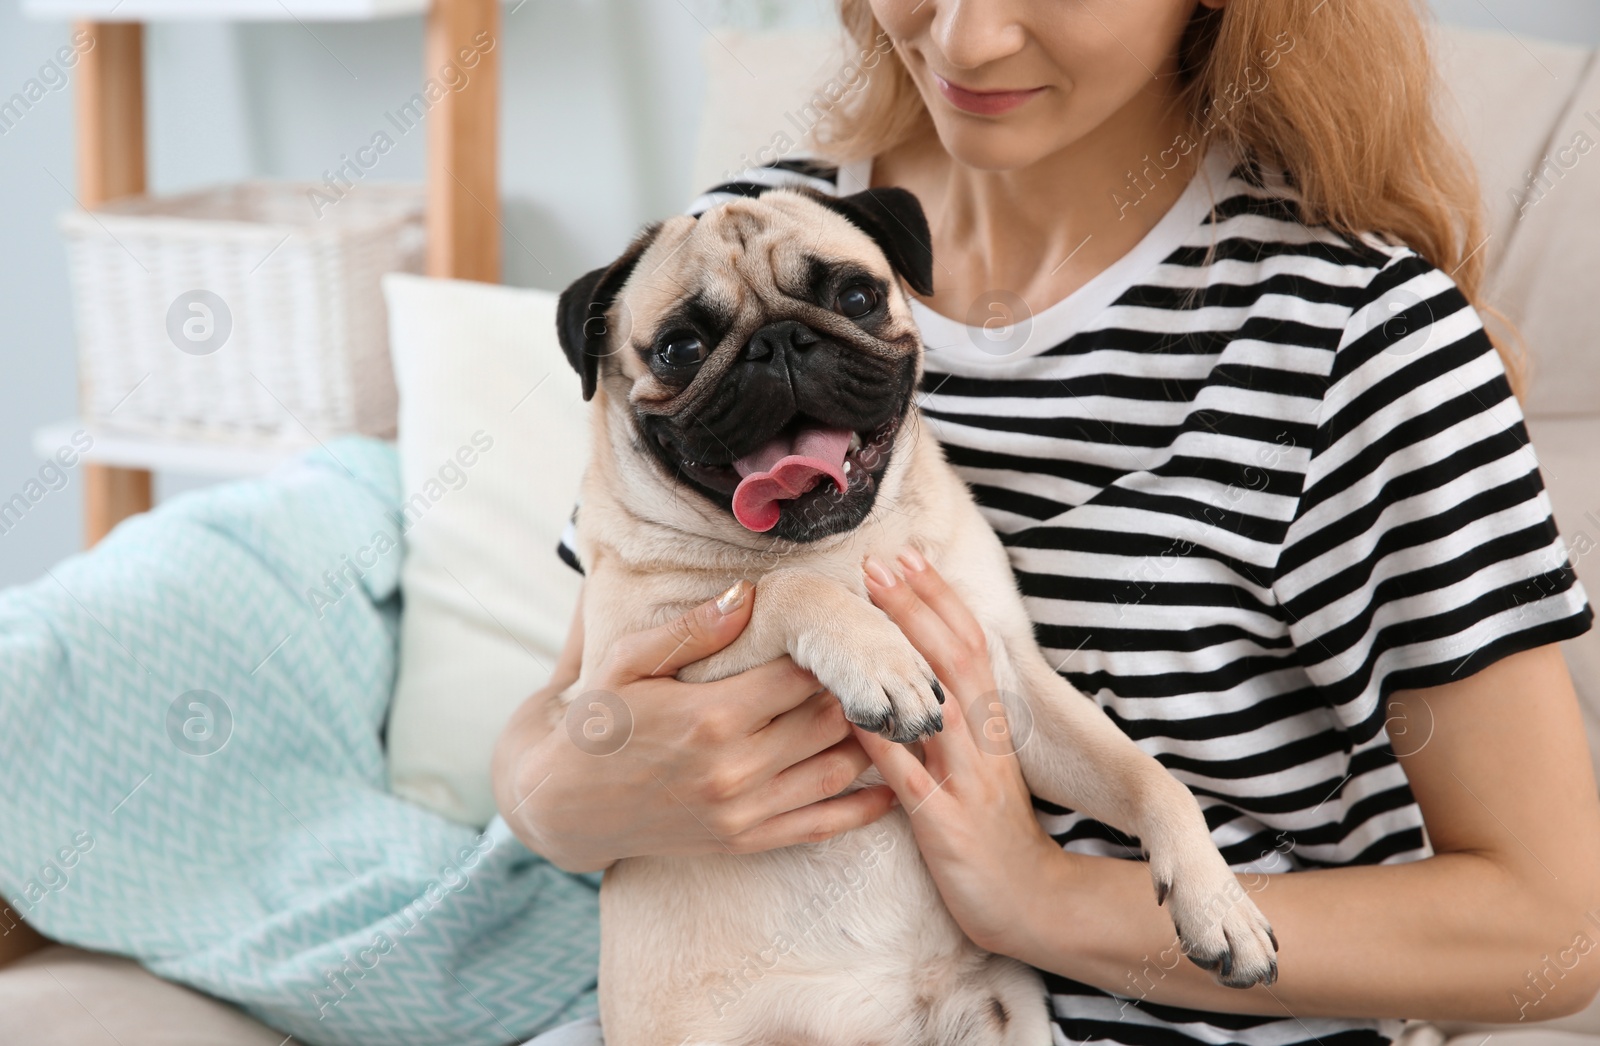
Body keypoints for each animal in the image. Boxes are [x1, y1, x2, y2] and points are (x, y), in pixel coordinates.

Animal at [550, 184, 1273, 1042]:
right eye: (679, 349)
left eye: (857, 298)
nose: (779, 342)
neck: (838, 542)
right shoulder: (624, 683)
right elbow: (785, 591)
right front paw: (880, 659)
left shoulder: (1009, 684)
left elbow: (1151, 779)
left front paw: (1219, 904)